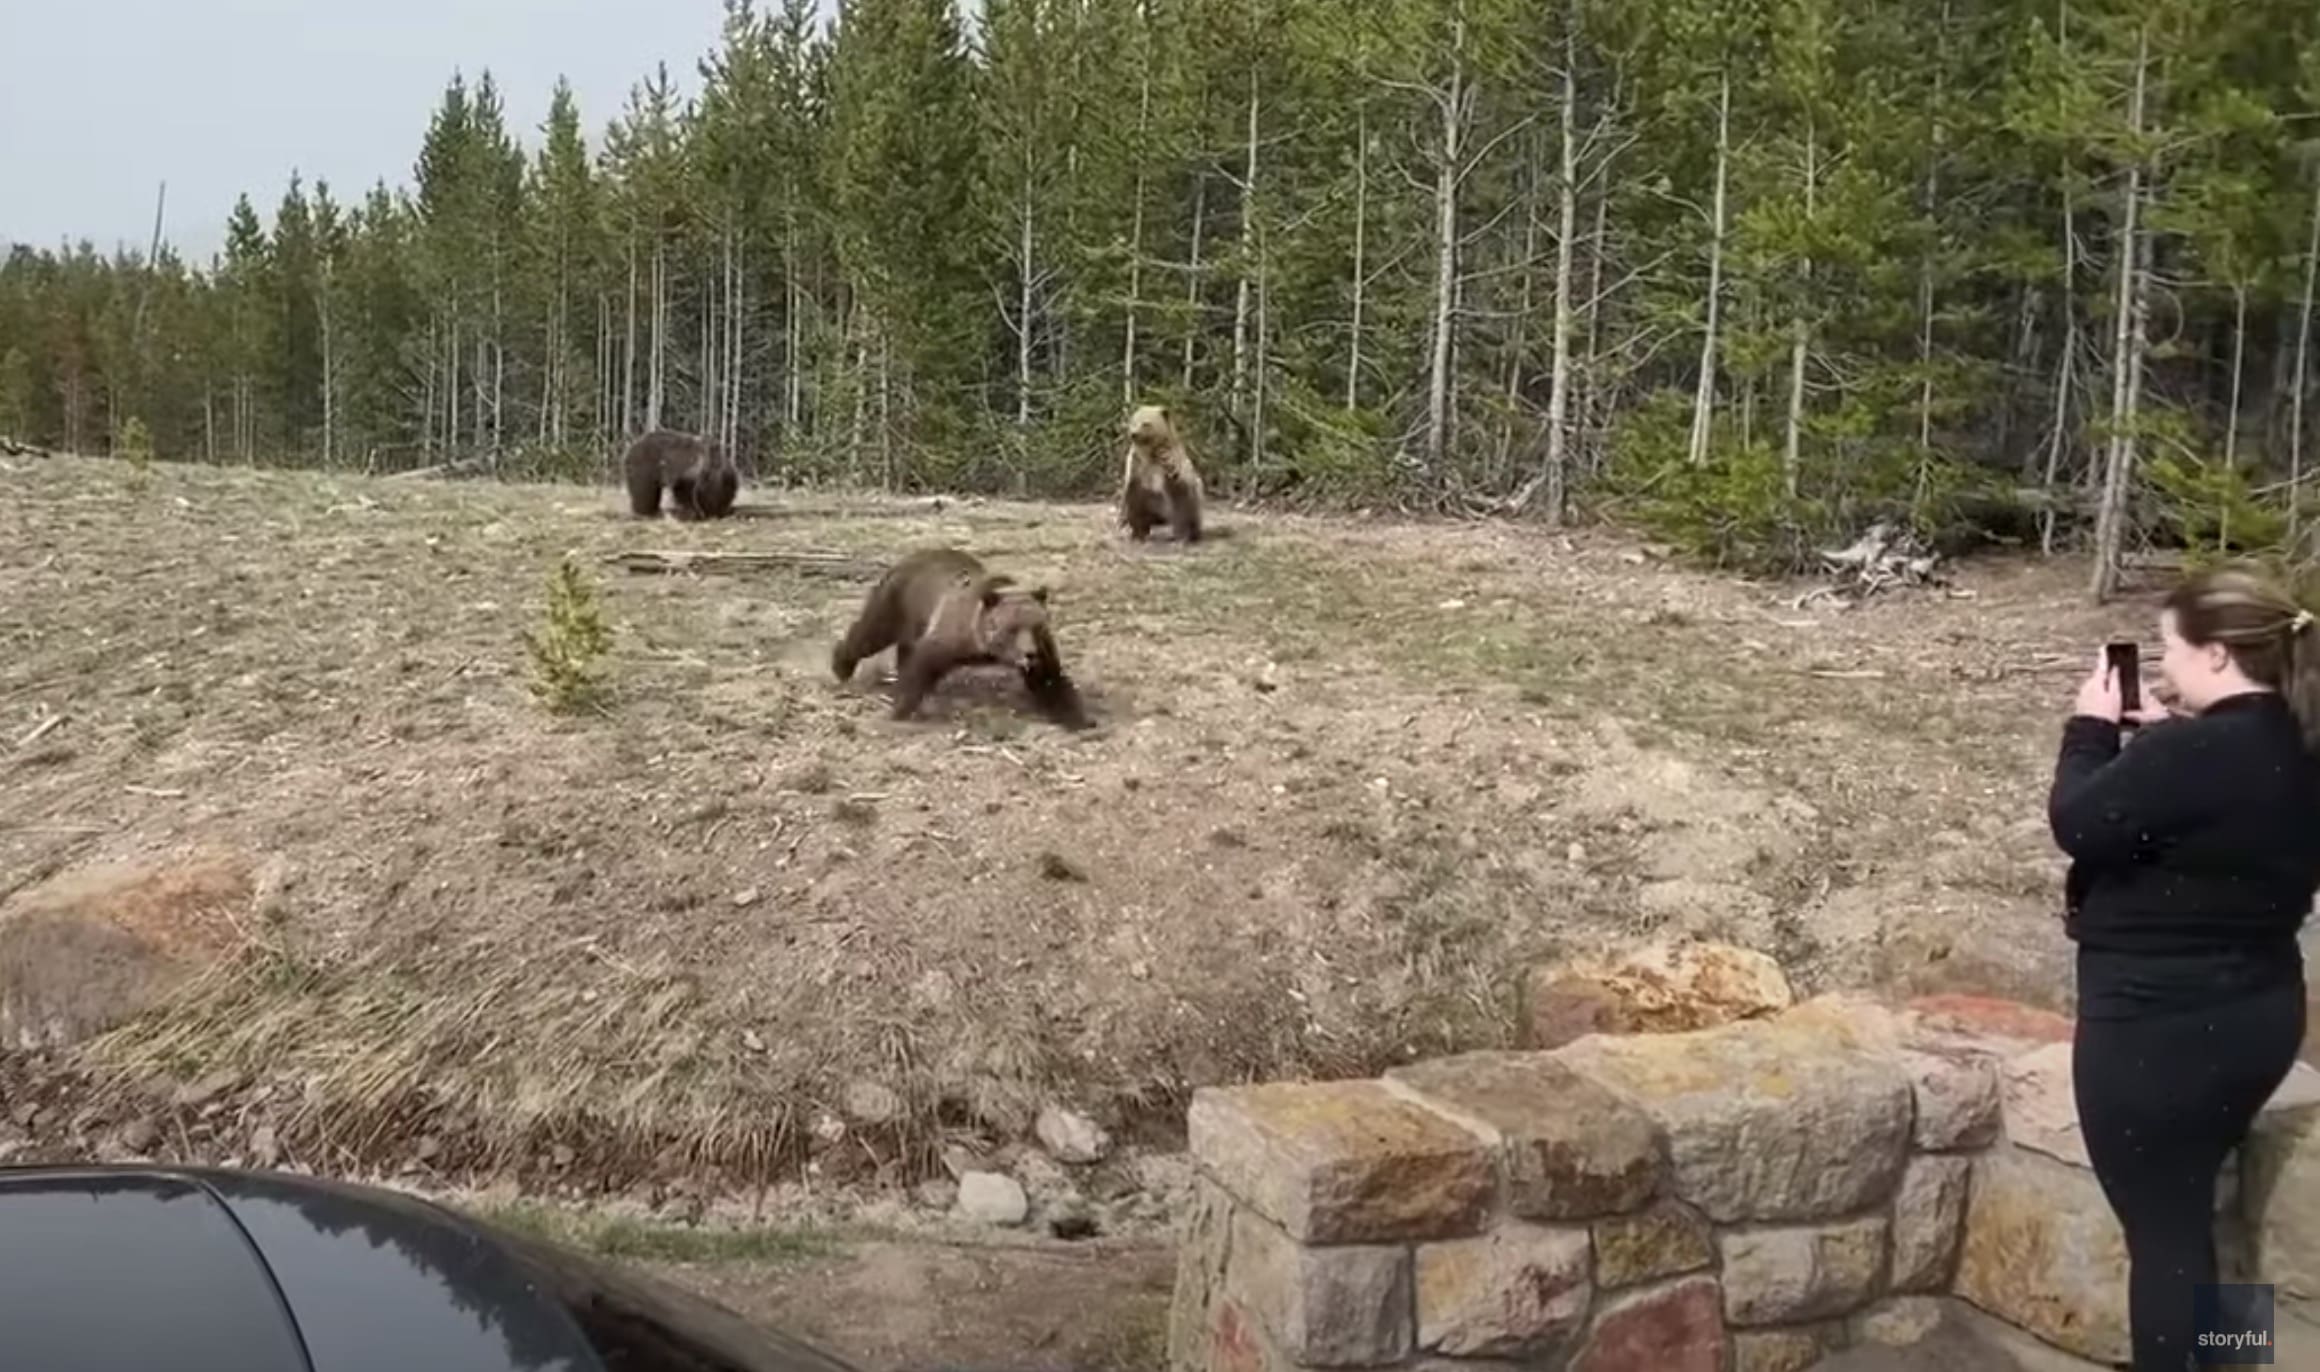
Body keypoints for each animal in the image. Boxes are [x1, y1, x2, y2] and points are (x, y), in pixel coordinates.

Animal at [830, 547, 1090, 729]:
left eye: (1038, 627)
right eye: (1012, 628)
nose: (1030, 654)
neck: (985, 647)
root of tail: (905, 559)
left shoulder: (1043, 652)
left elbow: (1050, 679)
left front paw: (1078, 717)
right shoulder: (953, 633)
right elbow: (925, 660)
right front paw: (900, 709)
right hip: (896, 602)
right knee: (871, 635)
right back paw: (841, 665)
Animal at [1117, 403, 1204, 544]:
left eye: (1146, 423)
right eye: (1133, 421)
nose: (1134, 434)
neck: (1151, 454)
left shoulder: (1174, 464)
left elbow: (1181, 493)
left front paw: (1183, 536)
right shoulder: (1136, 466)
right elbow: (1133, 497)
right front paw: (1137, 533)